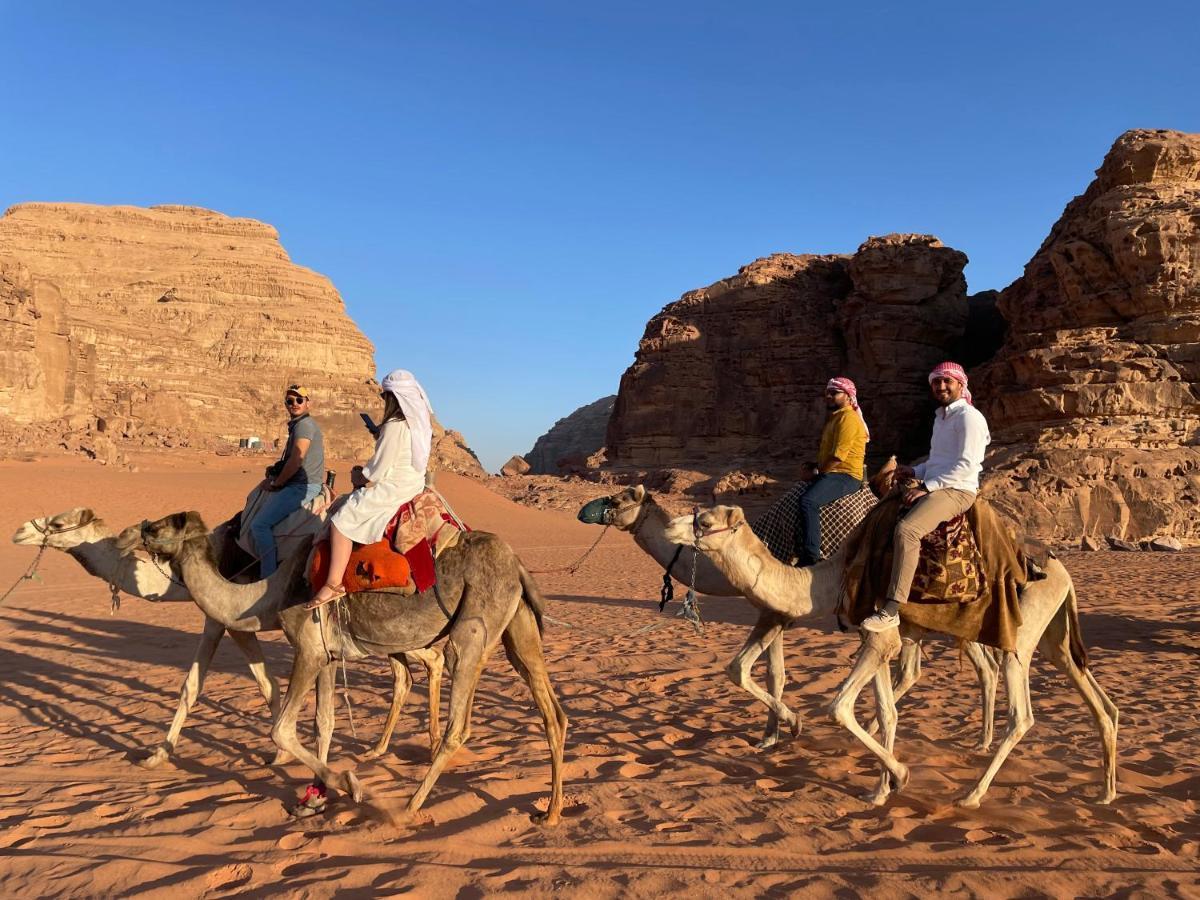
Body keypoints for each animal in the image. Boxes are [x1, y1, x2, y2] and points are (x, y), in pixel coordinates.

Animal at [11, 511, 444, 772]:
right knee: (407, 673)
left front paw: (279, 753)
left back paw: (430, 746)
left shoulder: (231, 622)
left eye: (58, 522)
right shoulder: (220, 621)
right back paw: (382, 748)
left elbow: (254, 686)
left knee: (432, 659)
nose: (20, 529)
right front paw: (157, 754)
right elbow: (204, 686)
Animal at [126, 511, 566, 830]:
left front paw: (347, 784)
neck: (269, 595)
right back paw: (550, 812)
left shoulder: (307, 649)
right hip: (516, 626)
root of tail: (516, 561)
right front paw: (313, 799)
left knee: (459, 713)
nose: (138, 528)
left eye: (165, 524)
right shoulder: (326, 656)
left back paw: (406, 807)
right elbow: (323, 723)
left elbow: (282, 729)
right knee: (551, 711)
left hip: (474, 626)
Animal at [580, 487, 1003, 753]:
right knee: (944, 668)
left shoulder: (778, 612)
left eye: (618, 498)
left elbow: (758, 672)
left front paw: (790, 725)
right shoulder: (776, 612)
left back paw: (979, 743)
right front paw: (771, 736)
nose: (585, 510)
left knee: (982, 666)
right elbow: (764, 672)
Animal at [672, 508, 1118, 811]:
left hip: (1018, 640)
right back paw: (1106, 792)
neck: (828, 581)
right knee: (1096, 698)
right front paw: (879, 790)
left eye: (705, 522)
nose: (672, 529)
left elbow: (839, 707)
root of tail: (1061, 571)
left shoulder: (880, 636)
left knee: (1021, 713)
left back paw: (972, 794)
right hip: (1054, 635)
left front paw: (900, 776)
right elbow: (888, 712)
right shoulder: (877, 640)